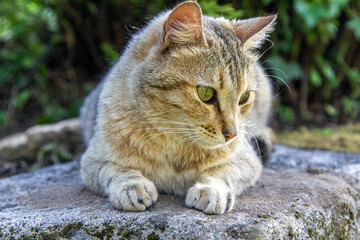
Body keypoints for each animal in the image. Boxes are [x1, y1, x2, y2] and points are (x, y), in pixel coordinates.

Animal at [79, 0, 276, 215]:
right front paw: (131, 185)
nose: (232, 134)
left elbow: (221, 172)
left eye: (244, 97)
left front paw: (211, 189)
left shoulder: (247, 162)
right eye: (206, 93)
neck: (174, 140)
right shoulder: (92, 161)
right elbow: (116, 170)